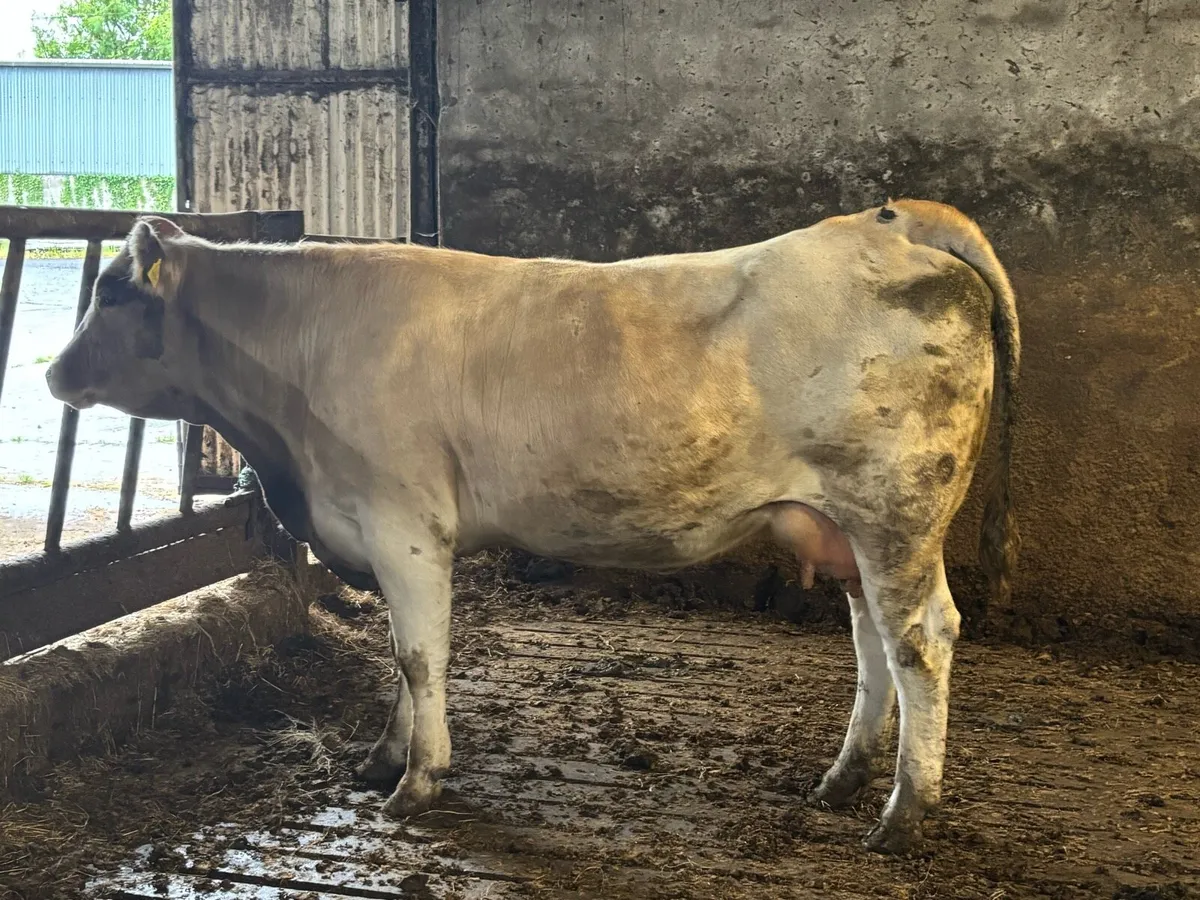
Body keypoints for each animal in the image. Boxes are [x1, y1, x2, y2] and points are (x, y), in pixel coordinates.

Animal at [46, 199, 1018, 854]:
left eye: (110, 291)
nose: (54, 372)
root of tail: (884, 223)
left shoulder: (403, 521)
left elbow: (419, 656)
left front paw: (417, 782)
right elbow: (402, 654)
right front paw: (382, 757)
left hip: (895, 512)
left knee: (920, 639)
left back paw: (904, 812)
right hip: (845, 529)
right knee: (872, 644)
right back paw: (843, 780)